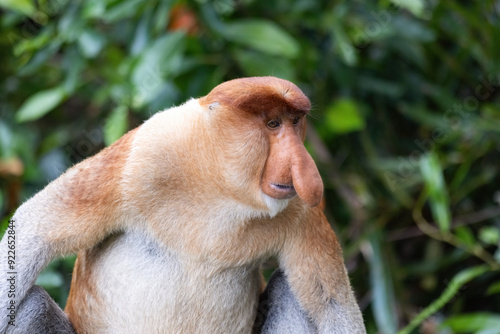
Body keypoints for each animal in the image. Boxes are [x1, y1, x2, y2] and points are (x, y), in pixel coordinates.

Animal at [0, 77, 368, 332]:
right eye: (273, 123)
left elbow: (331, 306)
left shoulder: (301, 211)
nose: (305, 170)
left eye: (295, 122)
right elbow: (35, 231)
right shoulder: (147, 152)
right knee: (32, 305)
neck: (218, 188)